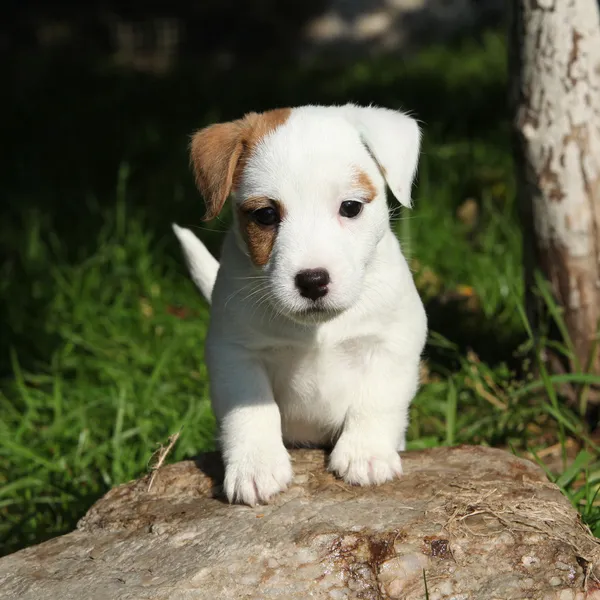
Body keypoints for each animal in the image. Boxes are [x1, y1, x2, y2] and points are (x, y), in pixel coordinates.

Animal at [172, 104, 426, 506]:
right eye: (265, 215)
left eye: (350, 207)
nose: (313, 280)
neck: (318, 330)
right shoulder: (235, 354)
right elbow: (251, 410)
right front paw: (256, 466)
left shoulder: (395, 339)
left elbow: (376, 399)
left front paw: (366, 453)